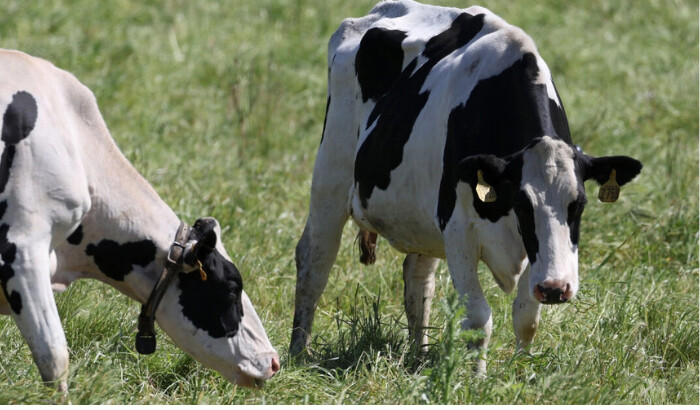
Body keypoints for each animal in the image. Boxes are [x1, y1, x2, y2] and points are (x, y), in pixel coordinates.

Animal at [288, 0, 640, 372]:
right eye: (521, 204)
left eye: (579, 204)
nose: (557, 288)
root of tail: (380, 11)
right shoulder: (458, 229)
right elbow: (478, 319)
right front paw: (477, 378)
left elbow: (526, 317)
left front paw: (520, 372)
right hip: (331, 173)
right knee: (315, 259)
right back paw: (299, 350)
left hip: (419, 214)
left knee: (418, 277)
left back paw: (419, 355)